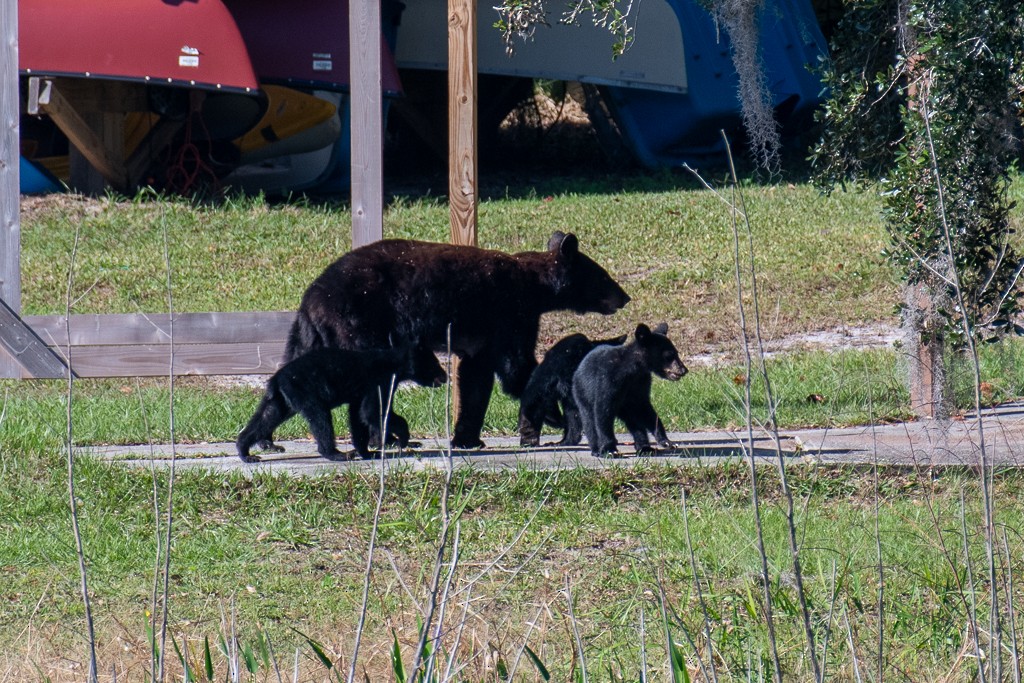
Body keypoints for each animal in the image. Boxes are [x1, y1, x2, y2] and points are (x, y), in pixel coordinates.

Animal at [236, 343, 447, 463]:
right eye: (435, 363)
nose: (445, 376)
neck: (395, 366)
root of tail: (277, 378)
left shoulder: (361, 393)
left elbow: (359, 417)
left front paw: (367, 452)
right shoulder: (379, 382)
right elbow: (372, 411)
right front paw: (402, 438)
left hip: (283, 398)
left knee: (267, 416)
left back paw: (246, 452)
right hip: (305, 391)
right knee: (320, 419)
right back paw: (336, 453)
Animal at [283, 231, 630, 450]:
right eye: (603, 276)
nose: (624, 297)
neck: (534, 285)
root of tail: (310, 300)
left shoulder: (484, 336)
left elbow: (476, 378)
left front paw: (468, 438)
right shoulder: (510, 312)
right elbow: (518, 368)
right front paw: (553, 415)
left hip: (314, 336)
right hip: (360, 320)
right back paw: (387, 437)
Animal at [572, 323, 688, 457]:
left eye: (676, 353)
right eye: (669, 355)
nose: (684, 370)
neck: (633, 369)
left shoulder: (640, 383)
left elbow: (645, 409)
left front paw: (666, 441)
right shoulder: (608, 380)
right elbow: (603, 412)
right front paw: (609, 449)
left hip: (625, 406)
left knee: (635, 423)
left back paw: (645, 448)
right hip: (582, 393)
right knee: (589, 419)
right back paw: (596, 449)